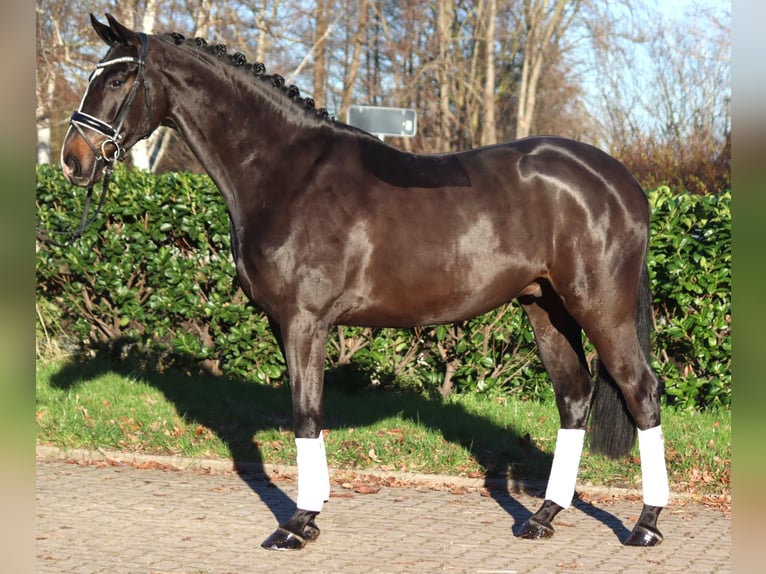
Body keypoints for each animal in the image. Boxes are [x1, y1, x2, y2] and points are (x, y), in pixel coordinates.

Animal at [60, 14, 670, 551]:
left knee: (641, 392)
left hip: (601, 309)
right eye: (95, 73)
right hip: (546, 309)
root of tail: (620, 183)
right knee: (574, 398)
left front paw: (297, 524)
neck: (286, 173)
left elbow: (306, 414)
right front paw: (310, 516)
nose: (73, 161)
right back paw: (543, 517)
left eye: (118, 78)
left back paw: (645, 525)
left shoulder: (304, 322)